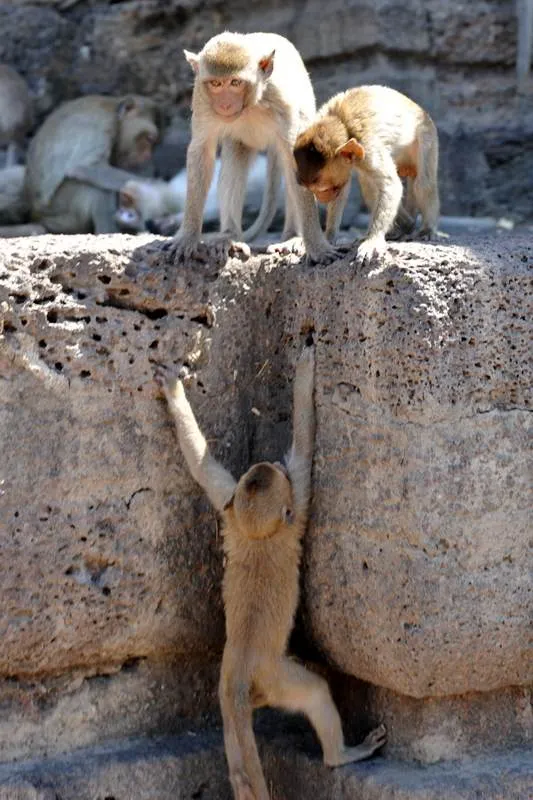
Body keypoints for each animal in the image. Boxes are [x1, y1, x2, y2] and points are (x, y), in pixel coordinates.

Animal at [24, 95, 161, 234]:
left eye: (153, 142)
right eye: (149, 139)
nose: (148, 155)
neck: (115, 115)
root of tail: (36, 215)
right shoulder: (101, 124)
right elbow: (85, 167)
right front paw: (152, 189)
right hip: (61, 212)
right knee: (96, 188)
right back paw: (109, 231)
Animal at [156, 347, 386, 800]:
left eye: (261, 471)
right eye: (275, 473)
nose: (272, 462)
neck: (257, 534)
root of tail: (243, 677)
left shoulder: (229, 502)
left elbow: (204, 466)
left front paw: (174, 391)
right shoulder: (294, 509)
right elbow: (305, 452)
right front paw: (305, 373)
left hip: (225, 686)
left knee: (239, 754)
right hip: (277, 676)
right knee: (314, 693)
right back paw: (342, 755)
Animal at [170, 31, 343, 265]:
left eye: (235, 82)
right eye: (216, 83)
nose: (225, 105)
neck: (250, 104)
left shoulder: (281, 100)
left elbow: (295, 158)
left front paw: (317, 246)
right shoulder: (202, 99)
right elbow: (201, 153)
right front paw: (187, 236)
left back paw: (292, 236)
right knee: (234, 163)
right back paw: (230, 235)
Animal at [293, 85, 439, 266]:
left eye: (323, 188)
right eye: (312, 189)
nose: (321, 198)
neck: (342, 123)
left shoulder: (368, 146)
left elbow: (391, 185)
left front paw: (373, 240)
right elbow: (345, 192)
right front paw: (328, 239)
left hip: (427, 135)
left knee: (423, 184)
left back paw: (426, 228)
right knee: (369, 186)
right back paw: (405, 225)